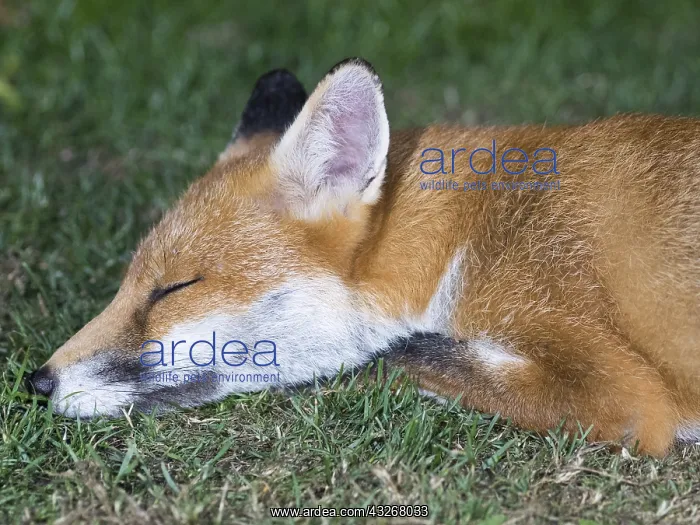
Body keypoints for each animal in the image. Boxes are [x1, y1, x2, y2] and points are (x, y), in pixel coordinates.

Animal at [26, 58, 699, 457]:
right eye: (127, 283)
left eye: (173, 288)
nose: (37, 382)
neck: (469, 242)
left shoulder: (617, 391)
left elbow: (387, 356)